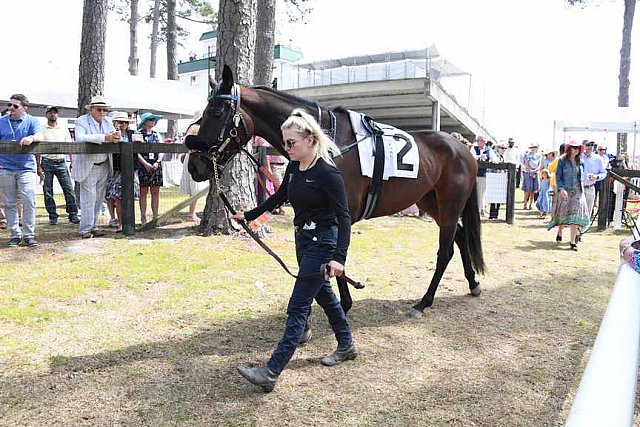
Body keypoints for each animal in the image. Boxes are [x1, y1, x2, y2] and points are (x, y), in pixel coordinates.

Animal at [186, 63, 484, 318]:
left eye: (215, 113)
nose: (194, 164)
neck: (328, 143)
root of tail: (463, 147)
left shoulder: (340, 214)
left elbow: (333, 260)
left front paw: (343, 304)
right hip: (429, 201)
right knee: (459, 236)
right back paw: (472, 283)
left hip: (450, 203)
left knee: (445, 251)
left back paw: (424, 302)